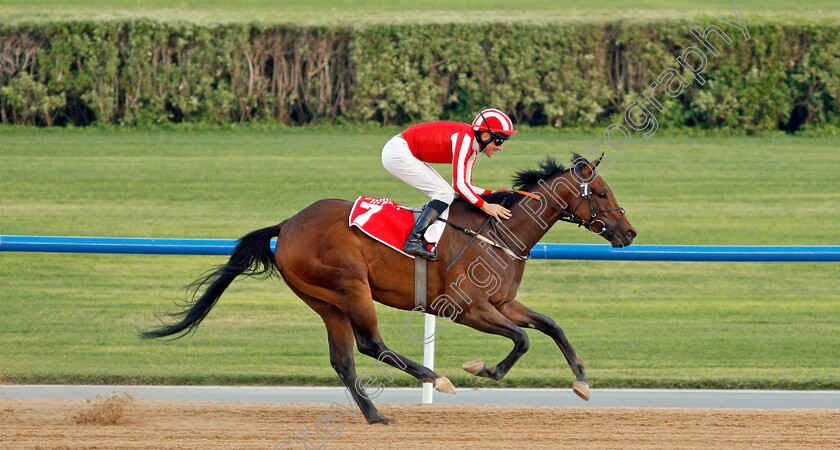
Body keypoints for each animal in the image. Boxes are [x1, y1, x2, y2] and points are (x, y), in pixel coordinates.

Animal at [139, 153, 636, 424]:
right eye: (602, 193)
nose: (629, 233)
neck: (501, 232)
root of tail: (289, 223)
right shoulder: (467, 307)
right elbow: (523, 339)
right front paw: (484, 369)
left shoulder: (503, 302)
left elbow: (550, 326)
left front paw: (581, 381)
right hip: (351, 285)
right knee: (370, 344)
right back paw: (436, 378)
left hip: (325, 300)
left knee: (343, 359)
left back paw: (375, 415)